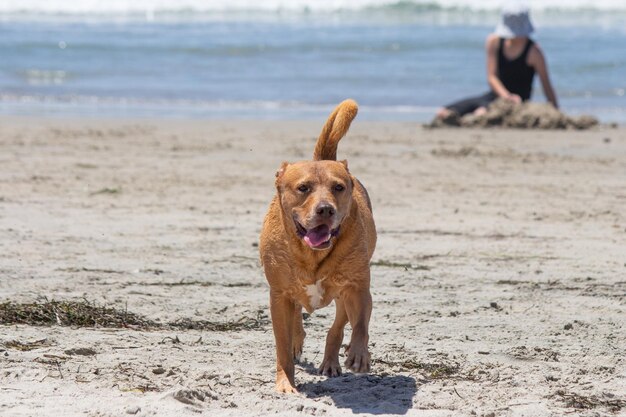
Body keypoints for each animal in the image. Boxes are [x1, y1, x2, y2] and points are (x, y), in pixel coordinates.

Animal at [258, 99, 376, 392]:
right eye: (303, 188)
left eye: (339, 187)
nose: (325, 209)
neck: (311, 254)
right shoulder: (278, 294)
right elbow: (281, 343)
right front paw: (286, 382)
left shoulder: (357, 287)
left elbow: (360, 324)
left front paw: (359, 353)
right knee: (297, 318)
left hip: (343, 295)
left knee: (338, 326)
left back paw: (333, 360)